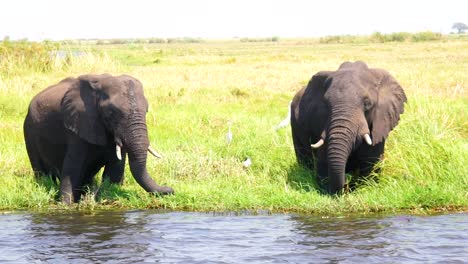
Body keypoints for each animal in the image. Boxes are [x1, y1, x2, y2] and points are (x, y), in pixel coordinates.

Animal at [23, 73, 174, 203]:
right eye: (111, 113)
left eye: (146, 110)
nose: (170, 189)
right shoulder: (78, 124)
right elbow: (72, 170)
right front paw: (66, 205)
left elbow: (115, 168)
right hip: (29, 130)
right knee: (41, 172)